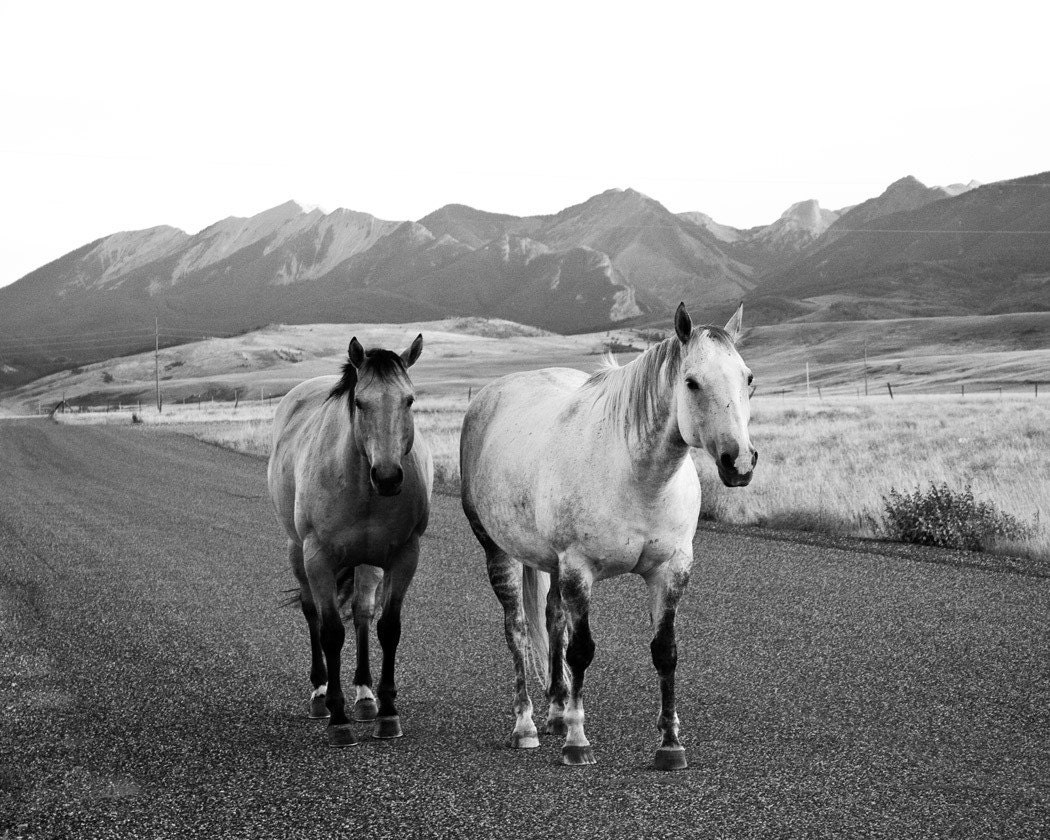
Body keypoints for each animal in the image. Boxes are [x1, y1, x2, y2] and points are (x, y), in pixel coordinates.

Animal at [268, 333, 433, 747]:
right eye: (360, 402)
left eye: (409, 400)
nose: (388, 477)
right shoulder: (317, 558)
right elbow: (330, 632)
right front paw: (338, 719)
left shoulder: (404, 555)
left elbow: (387, 628)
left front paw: (387, 713)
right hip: (297, 552)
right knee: (312, 612)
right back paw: (320, 693)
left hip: (367, 560)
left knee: (361, 612)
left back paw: (365, 695)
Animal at [460, 303, 756, 770]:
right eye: (692, 382)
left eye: (748, 378)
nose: (740, 463)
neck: (637, 475)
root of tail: (487, 398)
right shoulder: (579, 568)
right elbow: (581, 650)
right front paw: (578, 742)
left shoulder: (671, 570)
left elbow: (665, 651)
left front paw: (669, 744)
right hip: (499, 552)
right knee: (518, 630)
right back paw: (526, 726)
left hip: (551, 565)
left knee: (552, 619)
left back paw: (557, 712)